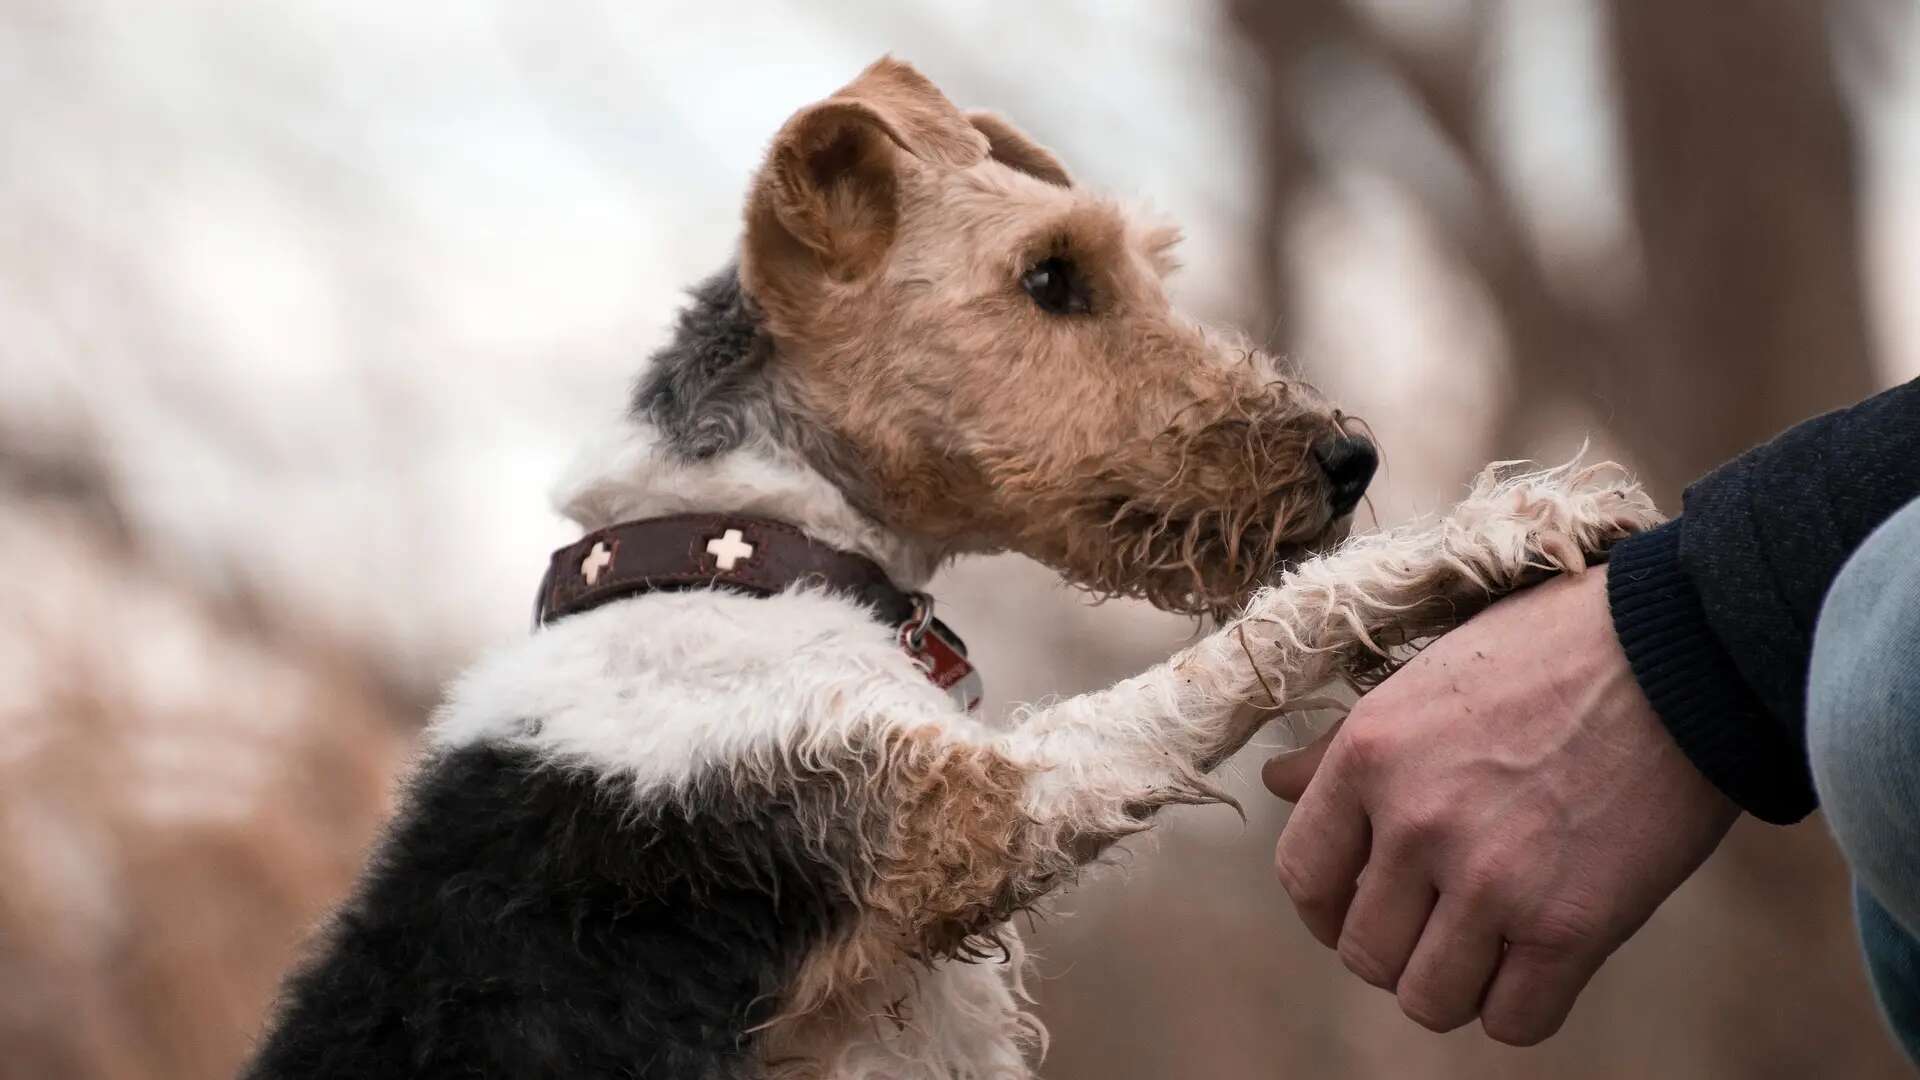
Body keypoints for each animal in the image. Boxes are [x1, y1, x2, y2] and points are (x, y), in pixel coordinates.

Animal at [236, 58, 1651, 1076]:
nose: (1350, 457)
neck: (738, 552)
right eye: (1051, 277)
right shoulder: (972, 807)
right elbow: (1233, 653)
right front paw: (1513, 523)